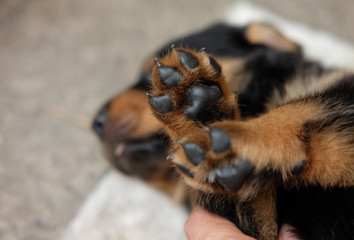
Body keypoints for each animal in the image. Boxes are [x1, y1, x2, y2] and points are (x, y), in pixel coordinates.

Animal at [92, 23, 352, 240]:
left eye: (149, 73)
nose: (95, 123)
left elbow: (303, 108)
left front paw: (232, 137)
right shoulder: (259, 224)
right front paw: (200, 119)